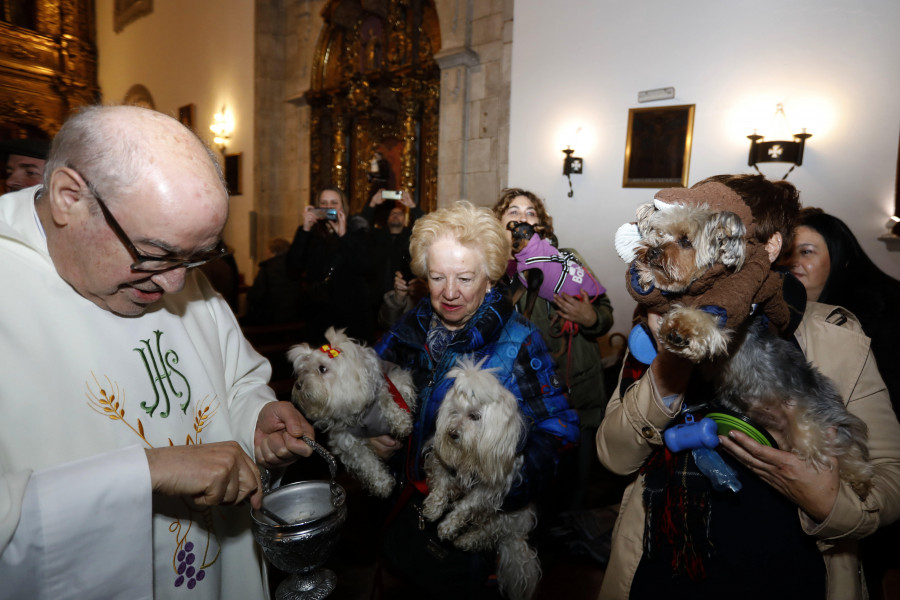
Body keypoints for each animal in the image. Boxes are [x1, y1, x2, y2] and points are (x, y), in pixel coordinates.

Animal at [286, 328, 416, 496]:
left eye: (322, 369)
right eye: (304, 370)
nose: (299, 385)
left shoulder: (387, 384)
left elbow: (388, 399)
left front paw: (401, 422)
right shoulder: (346, 440)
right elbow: (366, 462)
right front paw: (382, 483)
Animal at [424, 358, 540, 596]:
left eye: (475, 416)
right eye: (454, 412)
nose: (453, 433)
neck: (472, 453)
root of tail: (515, 533)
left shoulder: (491, 491)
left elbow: (465, 507)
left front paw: (448, 525)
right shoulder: (441, 460)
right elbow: (441, 484)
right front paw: (433, 507)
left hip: (505, 517)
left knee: (484, 534)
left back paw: (465, 540)